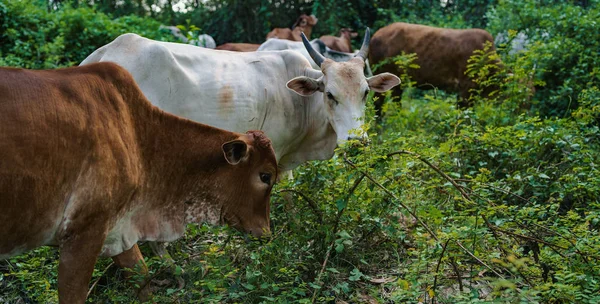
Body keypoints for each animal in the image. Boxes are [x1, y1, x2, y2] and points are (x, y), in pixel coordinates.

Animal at [0, 62, 276, 304]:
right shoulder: (83, 232)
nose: (266, 232)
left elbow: (142, 279)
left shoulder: (118, 229)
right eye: (266, 176)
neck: (140, 137)